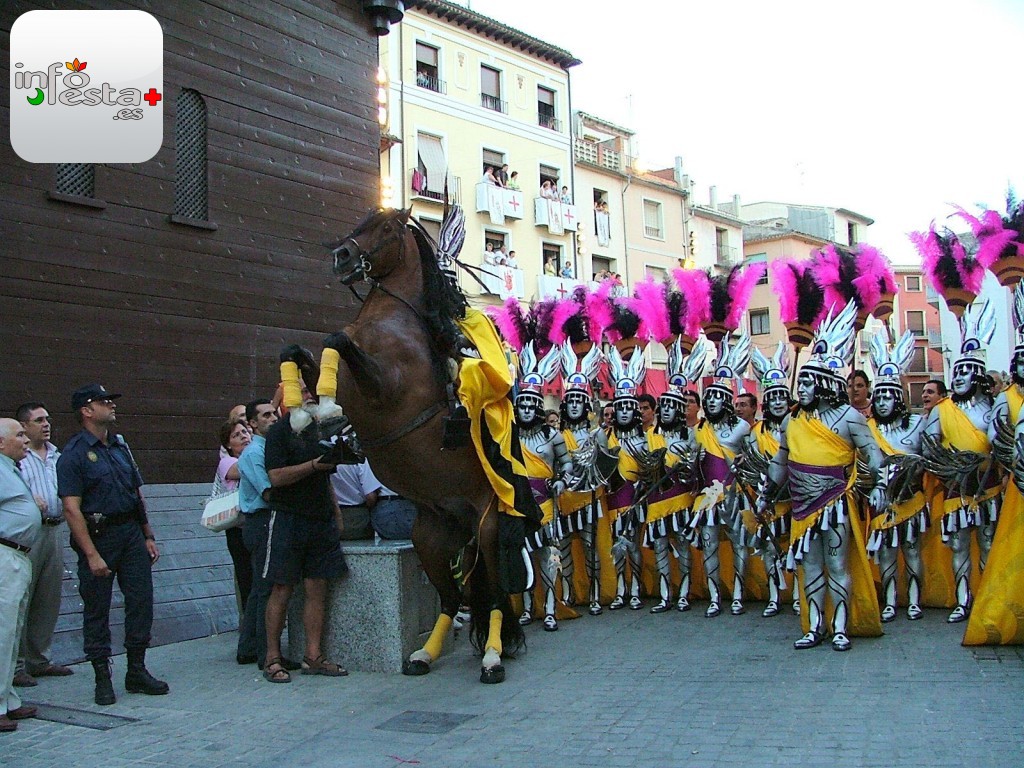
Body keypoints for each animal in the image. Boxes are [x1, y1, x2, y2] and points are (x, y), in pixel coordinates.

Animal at [311, 205, 536, 684]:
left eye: (385, 228)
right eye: (359, 224)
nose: (341, 256)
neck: (391, 320)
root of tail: (463, 519)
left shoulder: (385, 388)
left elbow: (337, 340)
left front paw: (325, 413)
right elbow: (311, 349)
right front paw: (318, 415)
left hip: (489, 530)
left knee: (492, 598)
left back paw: (492, 658)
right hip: (430, 539)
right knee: (452, 599)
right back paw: (424, 655)